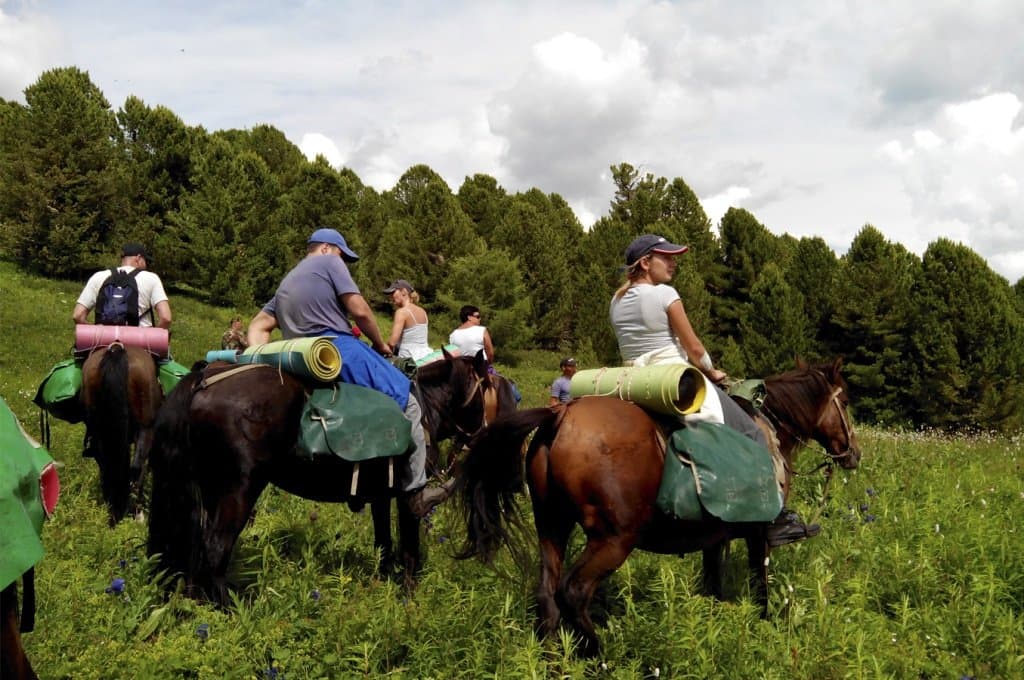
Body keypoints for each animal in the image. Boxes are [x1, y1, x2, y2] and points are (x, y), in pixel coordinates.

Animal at [80, 342, 162, 522]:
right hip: (145, 428)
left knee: (107, 465)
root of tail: (116, 349)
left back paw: (112, 509)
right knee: (137, 467)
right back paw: (137, 513)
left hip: (98, 430)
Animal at [149, 352, 499, 602]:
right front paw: (409, 597)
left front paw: (384, 583)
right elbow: (409, 546)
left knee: (195, 543)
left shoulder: (381, 497)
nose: (486, 431)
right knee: (215, 547)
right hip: (240, 489)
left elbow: (384, 543)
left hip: (208, 488)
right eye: (488, 387)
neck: (427, 409)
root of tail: (206, 379)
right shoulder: (406, 496)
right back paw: (229, 609)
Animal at [456, 358, 856, 655]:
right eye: (847, 402)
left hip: (552, 527)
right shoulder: (758, 533)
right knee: (573, 592)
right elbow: (760, 585)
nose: (854, 453)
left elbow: (713, 584)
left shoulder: (714, 537)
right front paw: (765, 627)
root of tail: (561, 417)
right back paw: (602, 654)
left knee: (547, 596)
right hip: (613, 540)